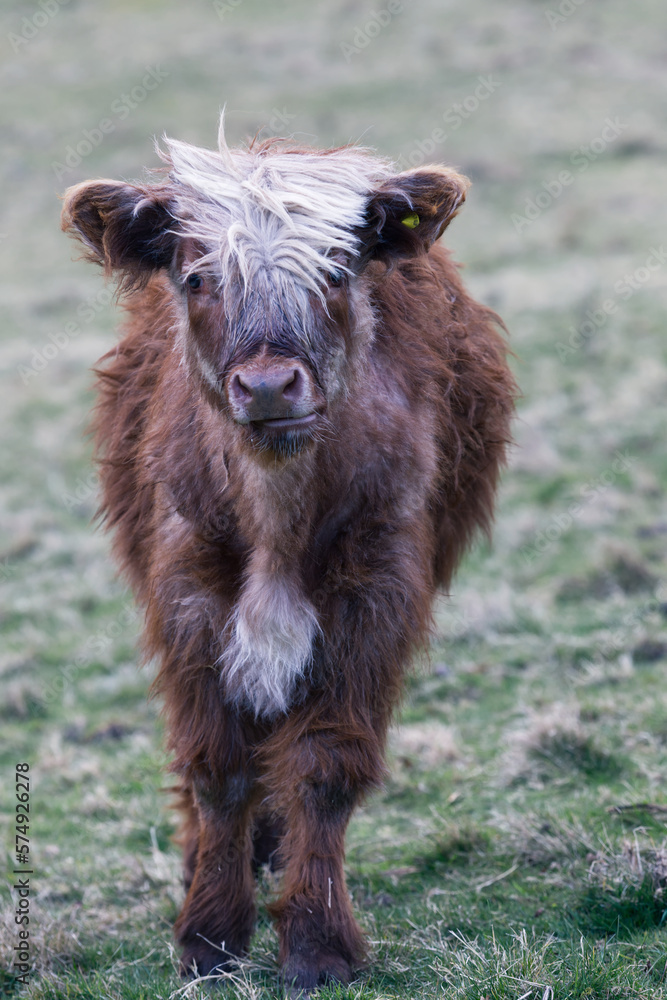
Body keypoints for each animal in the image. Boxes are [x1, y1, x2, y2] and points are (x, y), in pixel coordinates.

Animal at [61, 116, 515, 994]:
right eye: (197, 278)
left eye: (336, 268)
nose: (269, 386)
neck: (276, 508)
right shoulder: (187, 592)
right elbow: (218, 767)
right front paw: (208, 935)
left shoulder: (375, 592)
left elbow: (322, 767)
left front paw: (316, 941)